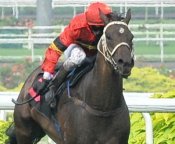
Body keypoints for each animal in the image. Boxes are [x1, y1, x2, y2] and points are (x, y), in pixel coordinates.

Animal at [6, 9, 134, 144]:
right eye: (108, 36)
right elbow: (59, 45)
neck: (103, 108)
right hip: (24, 131)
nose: (125, 63)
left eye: (131, 37)